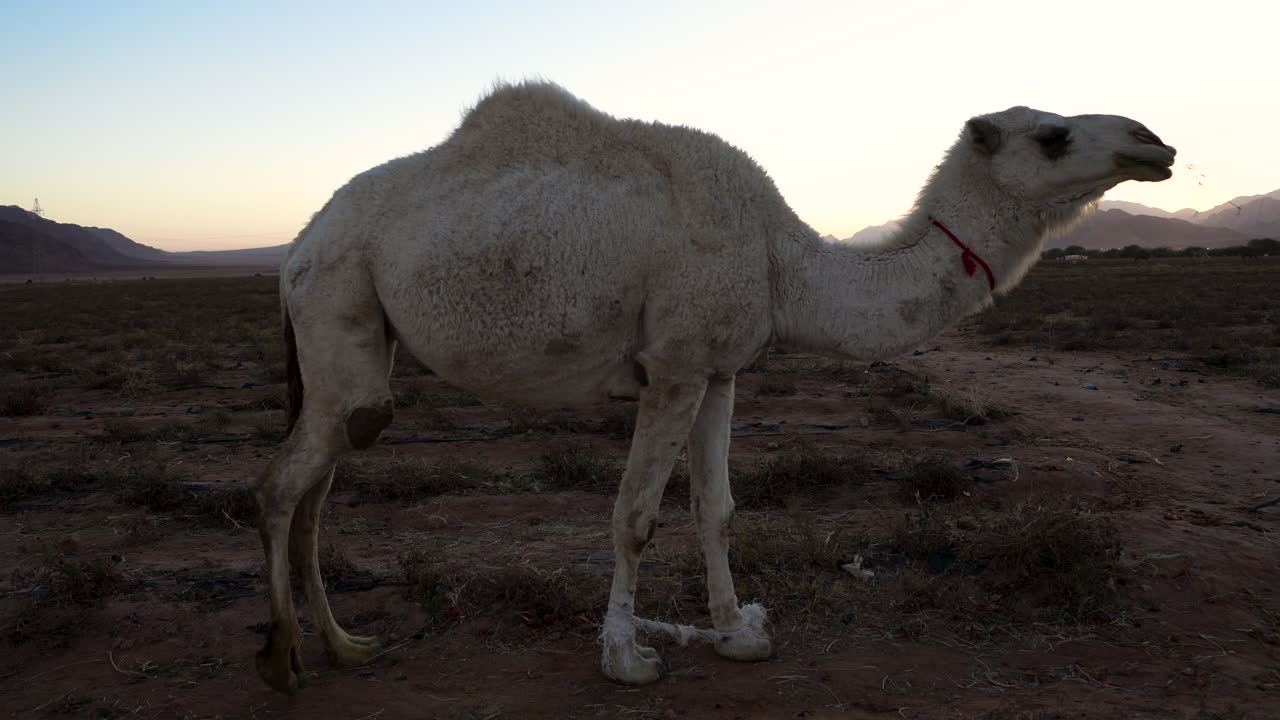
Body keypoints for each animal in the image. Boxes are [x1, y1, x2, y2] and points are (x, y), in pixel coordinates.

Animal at [253, 81, 1175, 692]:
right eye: (1053, 135)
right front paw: (626, 655)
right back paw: (287, 657)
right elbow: (634, 517)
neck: (781, 258)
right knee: (284, 483)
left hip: (355, 348)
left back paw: (344, 645)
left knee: (322, 478)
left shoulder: (721, 367)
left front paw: (737, 633)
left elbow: (717, 509)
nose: (1152, 140)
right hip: (337, 300)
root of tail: (297, 245)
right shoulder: (673, 363)